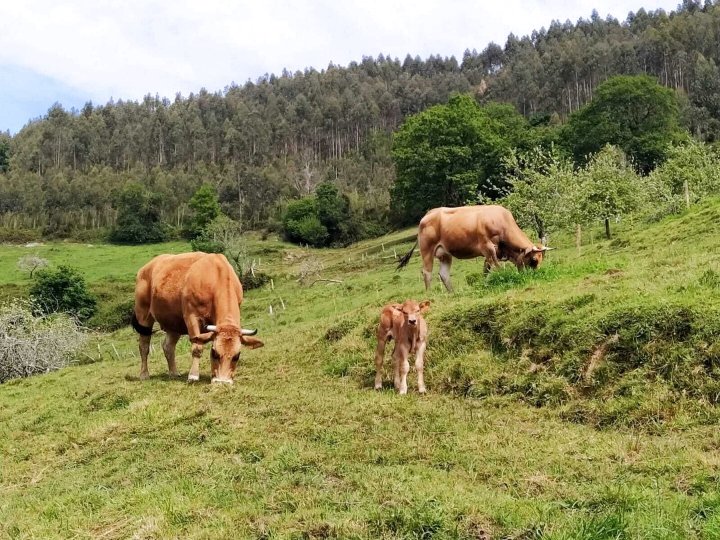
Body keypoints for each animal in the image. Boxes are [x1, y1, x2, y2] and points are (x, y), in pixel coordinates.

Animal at [131, 252, 262, 384]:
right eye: (214, 353)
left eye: (237, 356)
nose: (222, 382)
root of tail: (146, 267)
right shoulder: (191, 317)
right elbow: (197, 347)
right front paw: (193, 375)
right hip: (143, 315)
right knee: (144, 346)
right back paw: (144, 374)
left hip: (174, 322)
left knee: (168, 346)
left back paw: (173, 373)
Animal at [396, 206, 556, 294]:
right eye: (533, 260)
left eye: (541, 260)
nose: (533, 276)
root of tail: (428, 214)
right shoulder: (488, 247)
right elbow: (497, 268)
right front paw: (502, 277)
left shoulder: (492, 252)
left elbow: (486, 269)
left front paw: (485, 284)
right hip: (427, 250)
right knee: (427, 272)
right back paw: (430, 294)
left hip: (445, 254)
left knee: (444, 274)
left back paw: (453, 293)